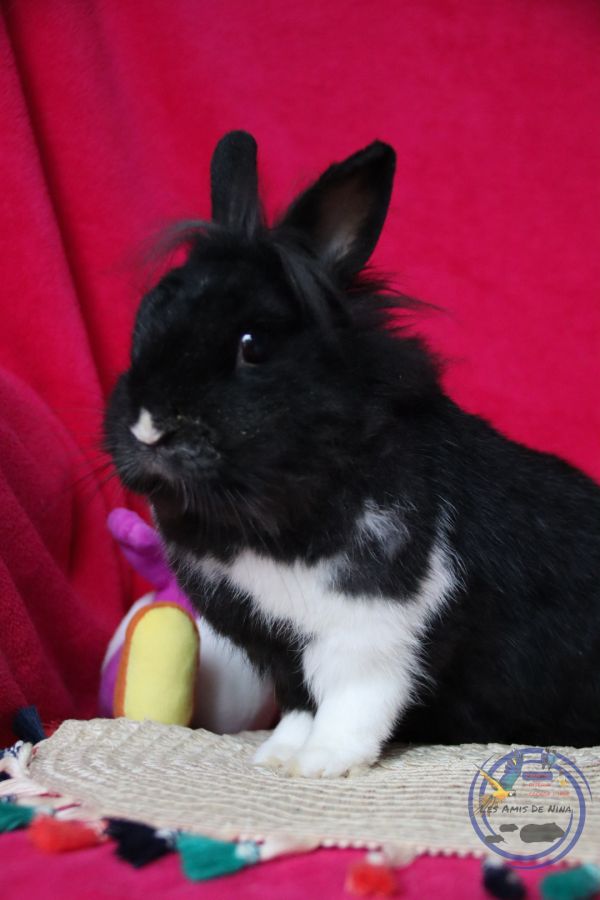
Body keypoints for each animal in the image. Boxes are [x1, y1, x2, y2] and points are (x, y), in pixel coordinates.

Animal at [104, 131, 600, 778]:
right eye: (142, 322)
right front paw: (277, 756)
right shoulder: (277, 645)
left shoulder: (372, 630)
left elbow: (351, 701)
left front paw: (322, 764)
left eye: (252, 347)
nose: (146, 428)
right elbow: (299, 702)